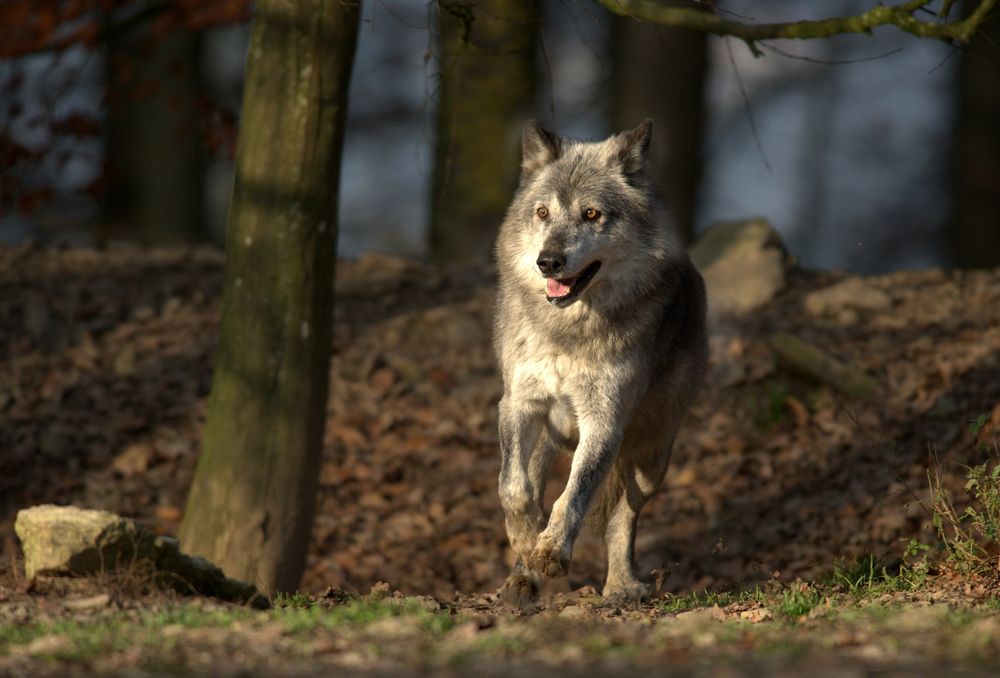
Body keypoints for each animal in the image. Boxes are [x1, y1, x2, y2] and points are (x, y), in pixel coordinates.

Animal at [492, 118, 712, 604]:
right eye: (542, 213)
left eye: (591, 214)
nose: (548, 262)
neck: (568, 332)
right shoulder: (518, 403)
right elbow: (513, 489)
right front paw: (526, 542)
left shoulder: (603, 423)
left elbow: (575, 496)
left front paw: (552, 550)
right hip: (553, 435)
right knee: (532, 482)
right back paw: (522, 577)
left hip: (650, 456)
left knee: (622, 517)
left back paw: (621, 585)